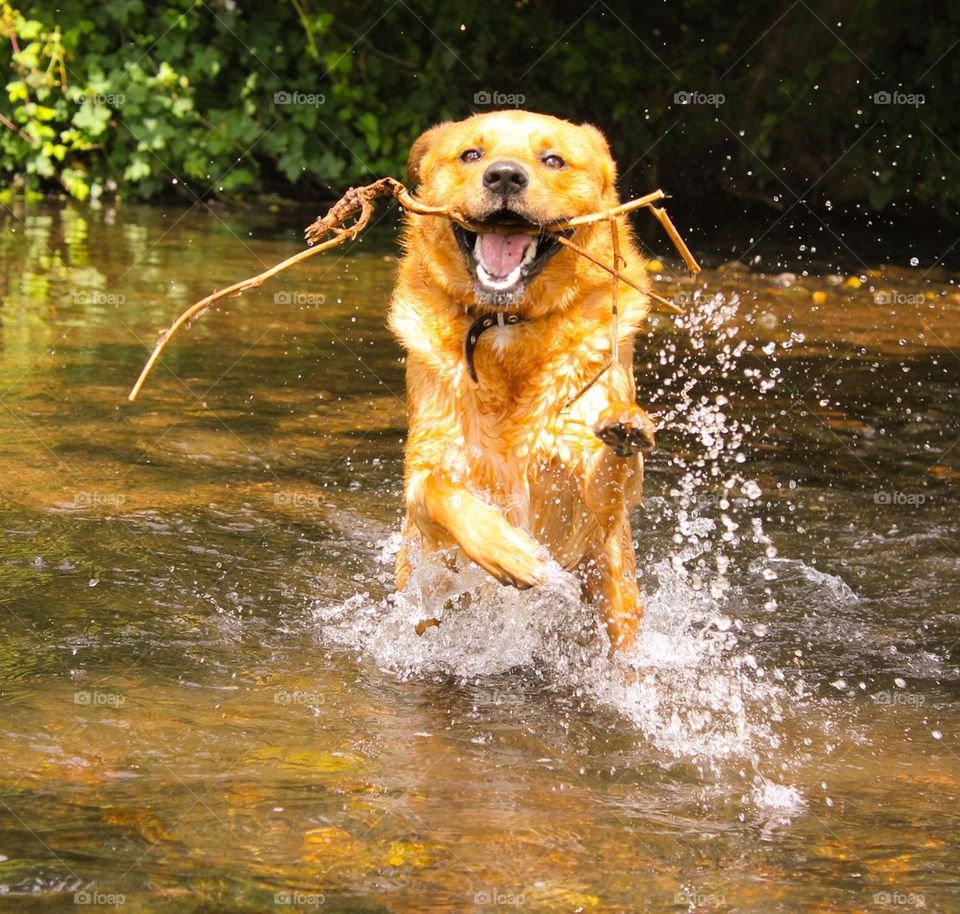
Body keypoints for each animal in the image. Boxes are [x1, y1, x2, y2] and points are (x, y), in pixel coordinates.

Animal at [386, 110, 656, 648]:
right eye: (472, 154)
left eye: (553, 160)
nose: (505, 176)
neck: (505, 327)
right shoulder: (425, 470)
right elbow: (439, 489)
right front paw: (508, 550)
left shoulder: (590, 508)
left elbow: (610, 474)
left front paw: (625, 424)